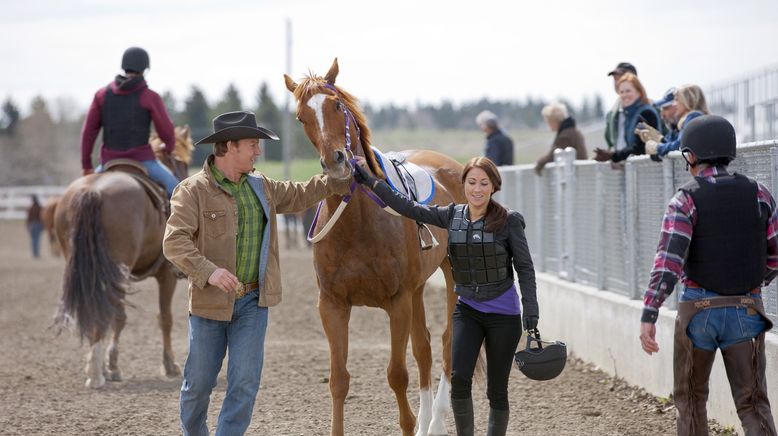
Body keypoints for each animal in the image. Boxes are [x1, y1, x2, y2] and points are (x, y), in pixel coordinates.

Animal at [53, 126, 192, 388]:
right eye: (182, 162)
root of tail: (92, 192)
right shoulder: (166, 275)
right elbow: (164, 318)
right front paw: (169, 365)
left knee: (100, 309)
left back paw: (96, 368)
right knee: (116, 313)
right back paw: (101, 371)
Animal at [286, 58, 464, 436]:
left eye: (337, 105)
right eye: (301, 117)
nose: (336, 162)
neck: (358, 223)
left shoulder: (397, 302)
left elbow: (397, 375)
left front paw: (411, 424)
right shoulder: (332, 304)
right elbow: (338, 379)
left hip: (454, 275)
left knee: (446, 343)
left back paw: (436, 422)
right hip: (418, 288)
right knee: (424, 347)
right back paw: (427, 421)